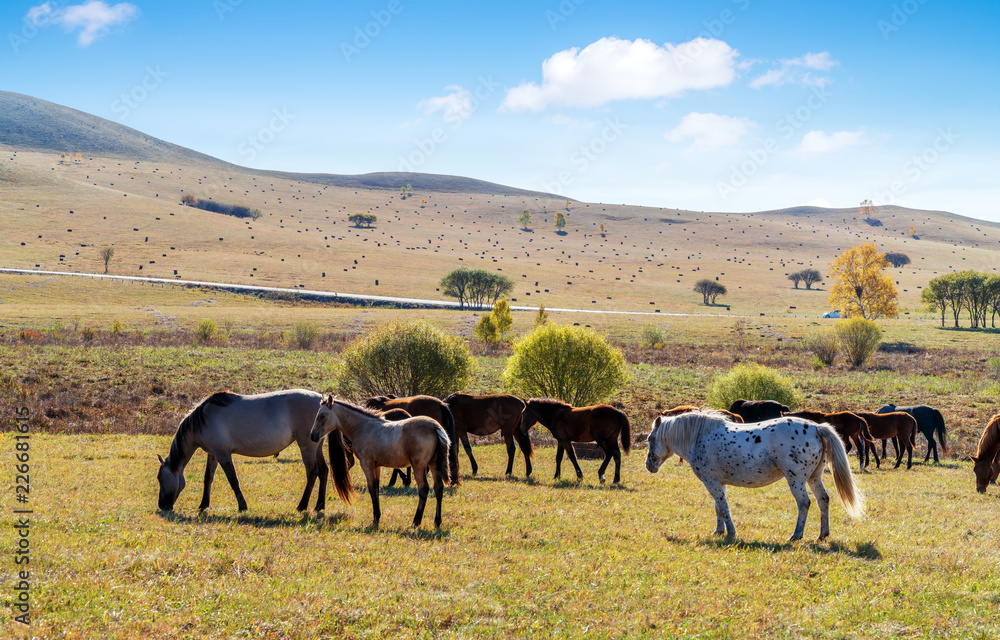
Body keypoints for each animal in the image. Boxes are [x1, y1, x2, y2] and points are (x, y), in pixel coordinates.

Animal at [156, 388, 356, 512]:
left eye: (160, 478)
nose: (162, 506)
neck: (203, 418)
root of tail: (322, 402)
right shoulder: (213, 453)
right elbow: (208, 479)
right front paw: (204, 504)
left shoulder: (223, 454)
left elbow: (233, 480)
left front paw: (242, 506)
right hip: (316, 445)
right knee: (323, 471)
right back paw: (319, 506)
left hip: (307, 445)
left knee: (312, 472)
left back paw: (302, 505)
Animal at [310, 398, 452, 528]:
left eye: (322, 416)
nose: (313, 436)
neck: (362, 426)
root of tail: (435, 426)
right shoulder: (376, 465)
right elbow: (376, 489)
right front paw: (378, 516)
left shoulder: (366, 464)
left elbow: (372, 489)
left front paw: (376, 519)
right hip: (434, 465)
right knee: (438, 488)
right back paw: (437, 521)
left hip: (419, 466)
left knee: (423, 489)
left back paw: (416, 521)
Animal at [644, 410, 864, 540]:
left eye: (650, 439)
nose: (648, 466)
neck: (699, 437)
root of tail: (816, 428)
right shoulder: (718, 483)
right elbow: (718, 507)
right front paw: (718, 531)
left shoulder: (711, 482)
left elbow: (724, 508)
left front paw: (730, 533)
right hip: (814, 478)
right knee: (823, 500)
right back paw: (823, 534)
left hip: (796, 480)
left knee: (804, 503)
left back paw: (796, 535)